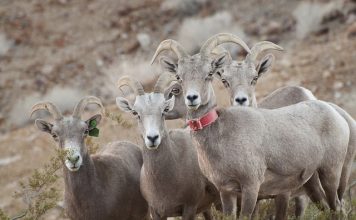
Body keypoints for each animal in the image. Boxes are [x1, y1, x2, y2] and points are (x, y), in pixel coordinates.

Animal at [150, 33, 350, 219]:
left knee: (338, 207)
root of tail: (335, 113)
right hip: (312, 182)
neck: (221, 138)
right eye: (179, 77)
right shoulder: (227, 192)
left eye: (208, 74)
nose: (192, 98)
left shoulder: (251, 188)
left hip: (330, 173)